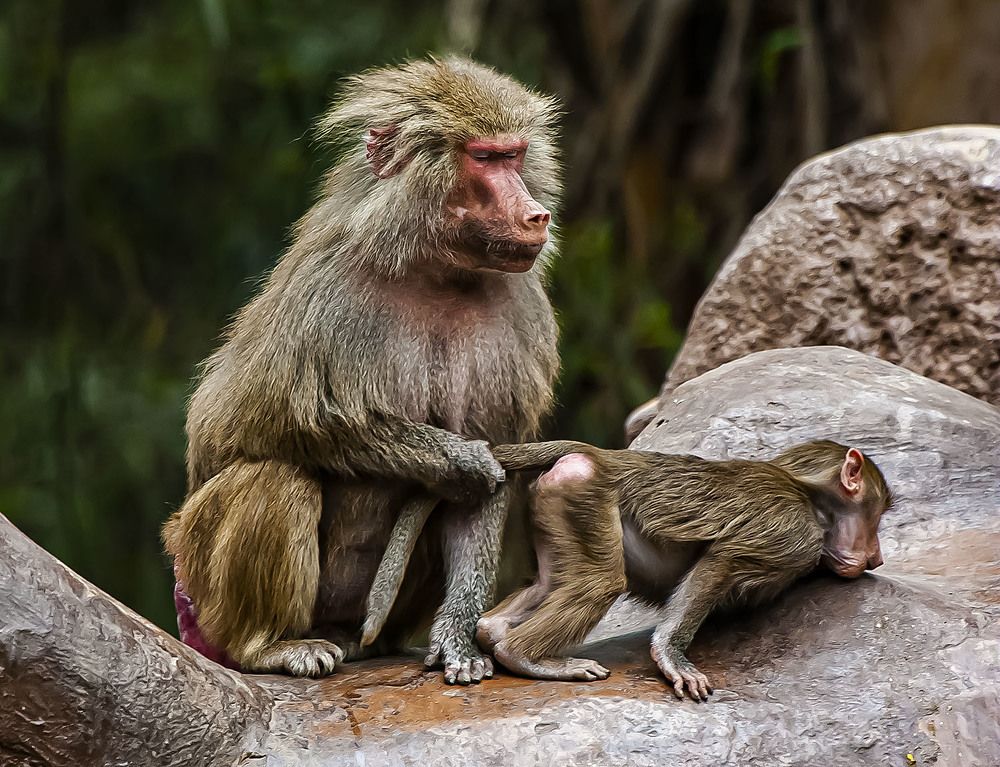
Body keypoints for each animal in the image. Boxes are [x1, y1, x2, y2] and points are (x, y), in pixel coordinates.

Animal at [161, 56, 563, 685]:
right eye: (485, 158)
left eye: (515, 155)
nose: (536, 215)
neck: (438, 272)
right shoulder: (327, 289)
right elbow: (253, 423)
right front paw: (460, 459)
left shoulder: (520, 310)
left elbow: (489, 476)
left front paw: (455, 638)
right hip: (199, 582)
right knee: (275, 478)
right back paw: (269, 646)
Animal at [363, 439, 892, 699]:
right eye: (878, 515)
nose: (878, 556)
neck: (807, 493)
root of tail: (604, 456)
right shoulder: (793, 533)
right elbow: (720, 562)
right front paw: (672, 657)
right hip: (584, 493)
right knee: (600, 582)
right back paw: (525, 656)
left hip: (556, 498)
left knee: (554, 580)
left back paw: (493, 631)